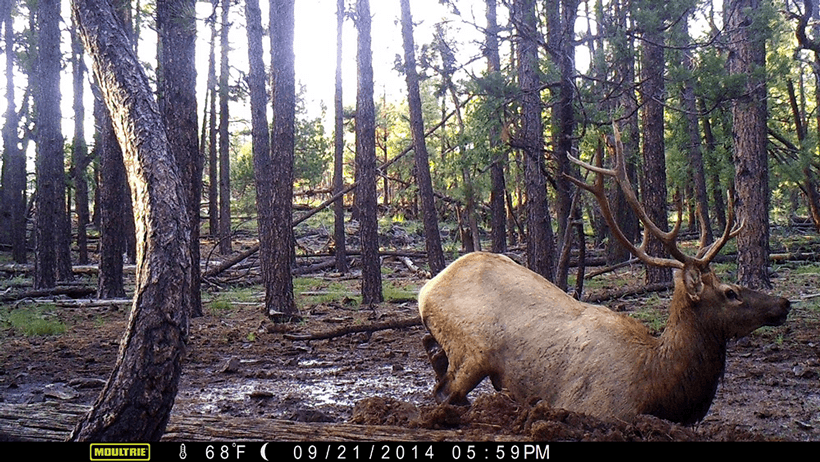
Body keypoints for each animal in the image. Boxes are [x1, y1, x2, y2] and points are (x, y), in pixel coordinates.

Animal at [417, 129, 790, 425]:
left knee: (433, 356)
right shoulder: (596, 407)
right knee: (445, 390)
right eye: (730, 292)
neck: (657, 385)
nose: (784, 302)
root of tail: (426, 290)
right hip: (475, 351)